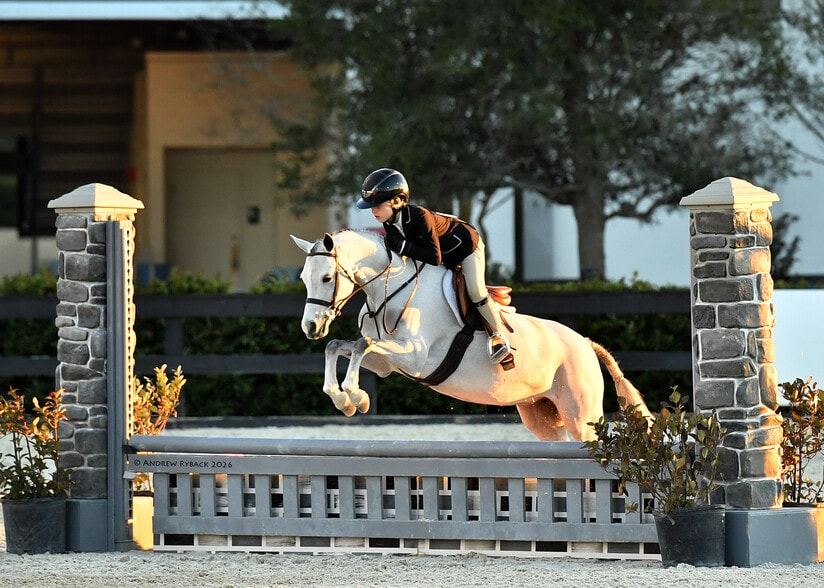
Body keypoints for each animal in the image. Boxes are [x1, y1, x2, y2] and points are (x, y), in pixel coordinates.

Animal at [291, 229, 652, 441]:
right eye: (304, 278)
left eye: (326, 278)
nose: (310, 328)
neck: (391, 289)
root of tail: (586, 345)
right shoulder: (387, 364)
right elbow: (340, 347)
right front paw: (345, 399)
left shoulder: (414, 356)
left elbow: (362, 345)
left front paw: (355, 396)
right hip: (543, 414)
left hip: (582, 416)